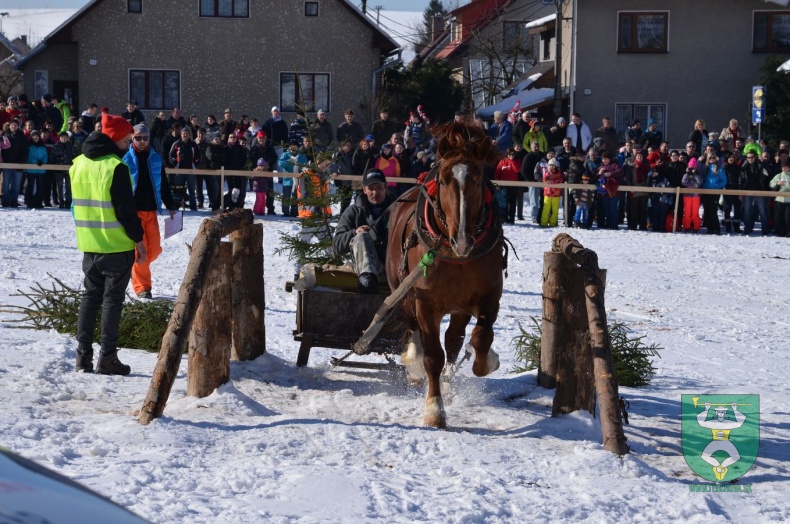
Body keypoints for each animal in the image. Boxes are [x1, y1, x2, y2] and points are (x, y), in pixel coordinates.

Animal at [386, 123, 508, 430]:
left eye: (478, 180)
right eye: (442, 181)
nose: (462, 239)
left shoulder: (489, 296)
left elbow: (480, 337)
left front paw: (486, 361)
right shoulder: (426, 303)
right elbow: (432, 356)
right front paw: (434, 409)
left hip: (458, 306)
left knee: (454, 339)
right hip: (403, 294)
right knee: (415, 331)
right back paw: (415, 365)